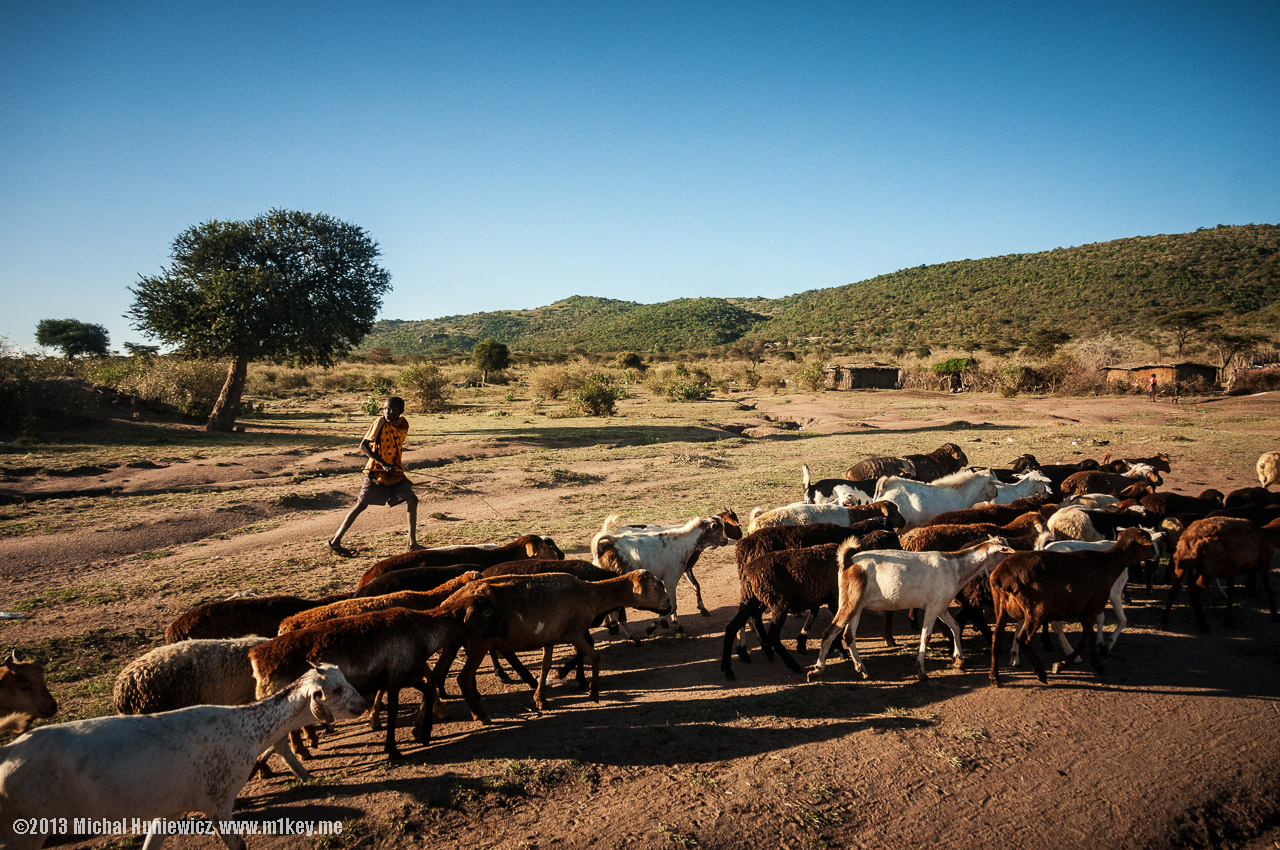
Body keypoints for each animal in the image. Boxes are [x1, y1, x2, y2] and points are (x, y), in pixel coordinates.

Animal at [1, 665, 366, 850]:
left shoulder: (169, 810)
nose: (362, 704)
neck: (246, 728)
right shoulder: (218, 802)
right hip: (25, 831)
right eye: (335, 690)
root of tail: (8, 752)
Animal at [808, 537, 1008, 686]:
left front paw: (959, 659)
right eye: (1005, 551)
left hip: (857, 605)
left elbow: (956, 626)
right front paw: (921, 672)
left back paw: (862, 669)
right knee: (829, 632)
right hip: (849, 602)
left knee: (848, 636)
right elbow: (926, 636)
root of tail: (847, 562)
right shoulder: (932, 608)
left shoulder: (941, 606)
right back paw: (817, 670)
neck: (955, 567)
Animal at [983, 527, 1157, 686]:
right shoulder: (1091, 608)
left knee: (996, 638)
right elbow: (1086, 640)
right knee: (1024, 638)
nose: (1155, 554)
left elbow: (1091, 637)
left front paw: (1097, 665)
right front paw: (1061, 665)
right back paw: (1040, 673)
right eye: (1148, 541)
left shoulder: (1086, 610)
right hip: (1037, 608)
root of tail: (1000, 576)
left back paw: (995, 677)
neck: (1109, 563)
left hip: (1001, 607)